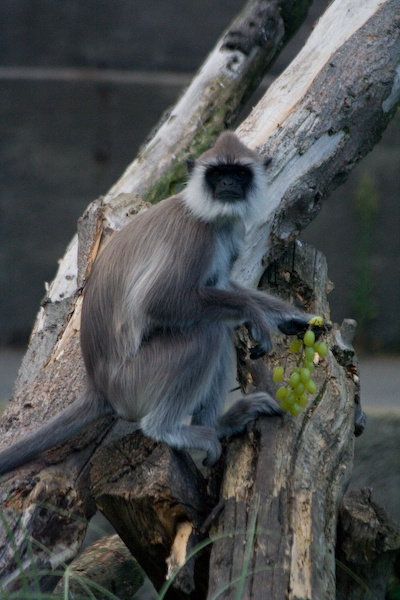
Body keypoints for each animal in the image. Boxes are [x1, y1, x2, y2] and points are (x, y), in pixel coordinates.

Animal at [0, 130, 312, 474]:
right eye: (217, 173)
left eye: (239, 173)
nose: (228, 184)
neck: (204, 214)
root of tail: (99, 386)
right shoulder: (194, 236)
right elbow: (158, 302)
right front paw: (254, 314)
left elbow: (222, 286)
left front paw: (291, 316)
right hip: (135, 380)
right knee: (207, 331)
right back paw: (168, 430)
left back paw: (216, 424)